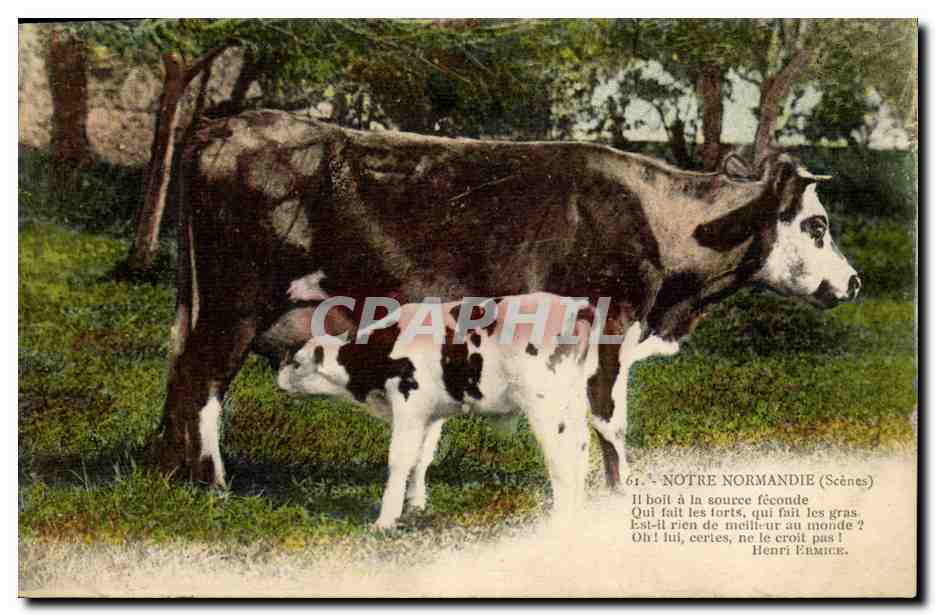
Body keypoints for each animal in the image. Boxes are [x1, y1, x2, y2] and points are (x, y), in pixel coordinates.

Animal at [159, 109, 860, 492]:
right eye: (816, 225)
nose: (853, 283)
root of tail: (224, 125)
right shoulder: (608, 331)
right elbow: (608, 421)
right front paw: (615, 498)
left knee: (181, 378)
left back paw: (171, 473)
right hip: (233, 305)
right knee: (202, 382)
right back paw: (212, 483)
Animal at [275, 293, 597, 528]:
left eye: (297, 362)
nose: (277, 380)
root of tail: (573, 306)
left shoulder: (408, 405)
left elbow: (399, 460)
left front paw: (385, 520)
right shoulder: (431, 414)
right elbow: (422, 459)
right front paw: (416, 506)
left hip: (544, 405)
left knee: (559, 457)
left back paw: (559, 518)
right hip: (573, 400)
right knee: (580, 448)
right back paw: (580, 511)